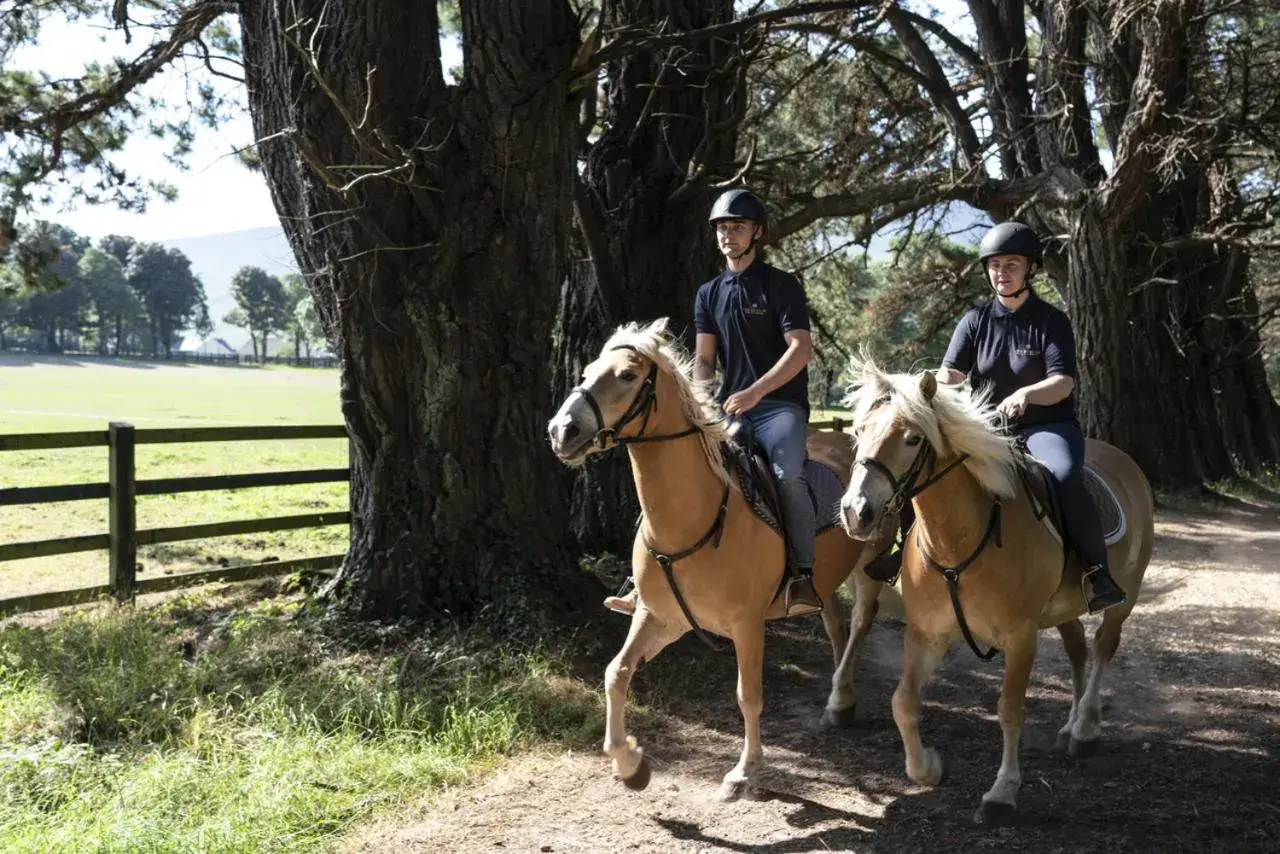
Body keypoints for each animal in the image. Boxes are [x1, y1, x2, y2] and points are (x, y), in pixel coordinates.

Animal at [545, 320, 896, 804]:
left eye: (627, 376)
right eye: (588, 371)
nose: (562, 431)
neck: (695, 520)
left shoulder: (746, 625)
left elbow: (748, 695)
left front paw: (745, 773)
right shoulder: (660, 616)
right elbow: (617, 673)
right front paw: (631, 765)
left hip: (868, 565)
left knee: (861, 621)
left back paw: (844, 693)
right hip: (824, 585)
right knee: (836, 627)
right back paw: (840, 702)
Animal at [834, 363, 1157, 829]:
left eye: (912, 438)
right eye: (859, 430)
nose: (857, 512)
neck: (960, 540)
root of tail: (1124, 461)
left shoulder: (1020, 639)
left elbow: (1009, 710)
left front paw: (1002, 793)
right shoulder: (927, 635)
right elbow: (903, 702)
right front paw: (928, 768)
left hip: (1124, 598)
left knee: (1102, 647)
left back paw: (1085, 727)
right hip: (1063, 608)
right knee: (1078, 649)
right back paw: (1070, 723)